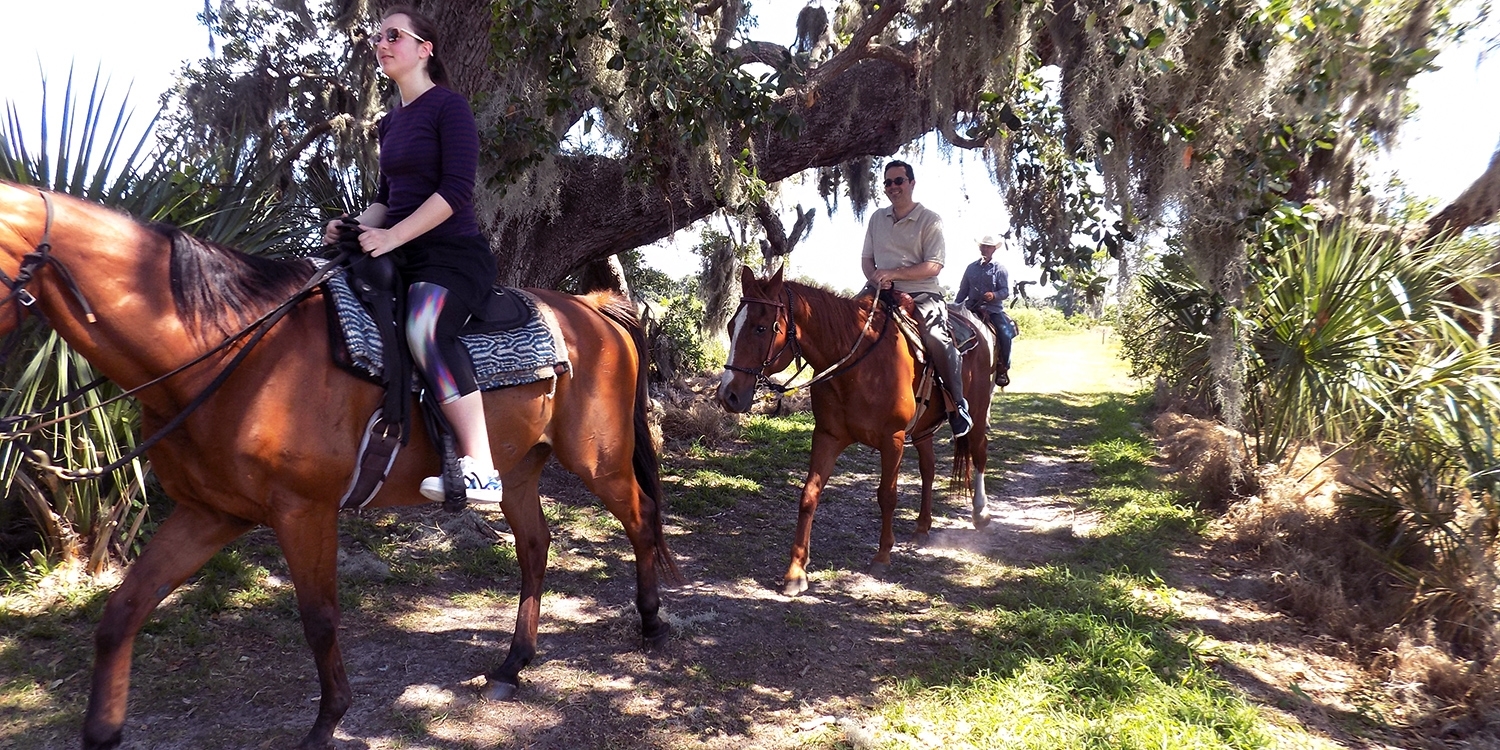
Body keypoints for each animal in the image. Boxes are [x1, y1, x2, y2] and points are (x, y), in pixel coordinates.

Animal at [0, 183, 675, 750]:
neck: (228, 352)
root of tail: (593, 309)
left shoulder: (304, 511)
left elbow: (320, 619)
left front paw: (328, 722)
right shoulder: (209, 514)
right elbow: (122, 614)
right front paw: (102, 730)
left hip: (598, 460)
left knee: (640, 518)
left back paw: (650, 625)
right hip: (519, 471)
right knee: (536, 546)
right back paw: (513, 665)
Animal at [717, 267, 996, 594]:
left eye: (761, 328)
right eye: (731, 326)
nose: (728, 395)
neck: (856, 364)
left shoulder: (893, 440)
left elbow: (887, 495)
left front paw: (883, 556)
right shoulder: (827, 436)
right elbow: (809, 495)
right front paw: (796, 572)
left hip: (976, 412)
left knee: (979, 453)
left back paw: (981, 513)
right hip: (923, 430)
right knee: (928, 469)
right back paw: (922, 527)